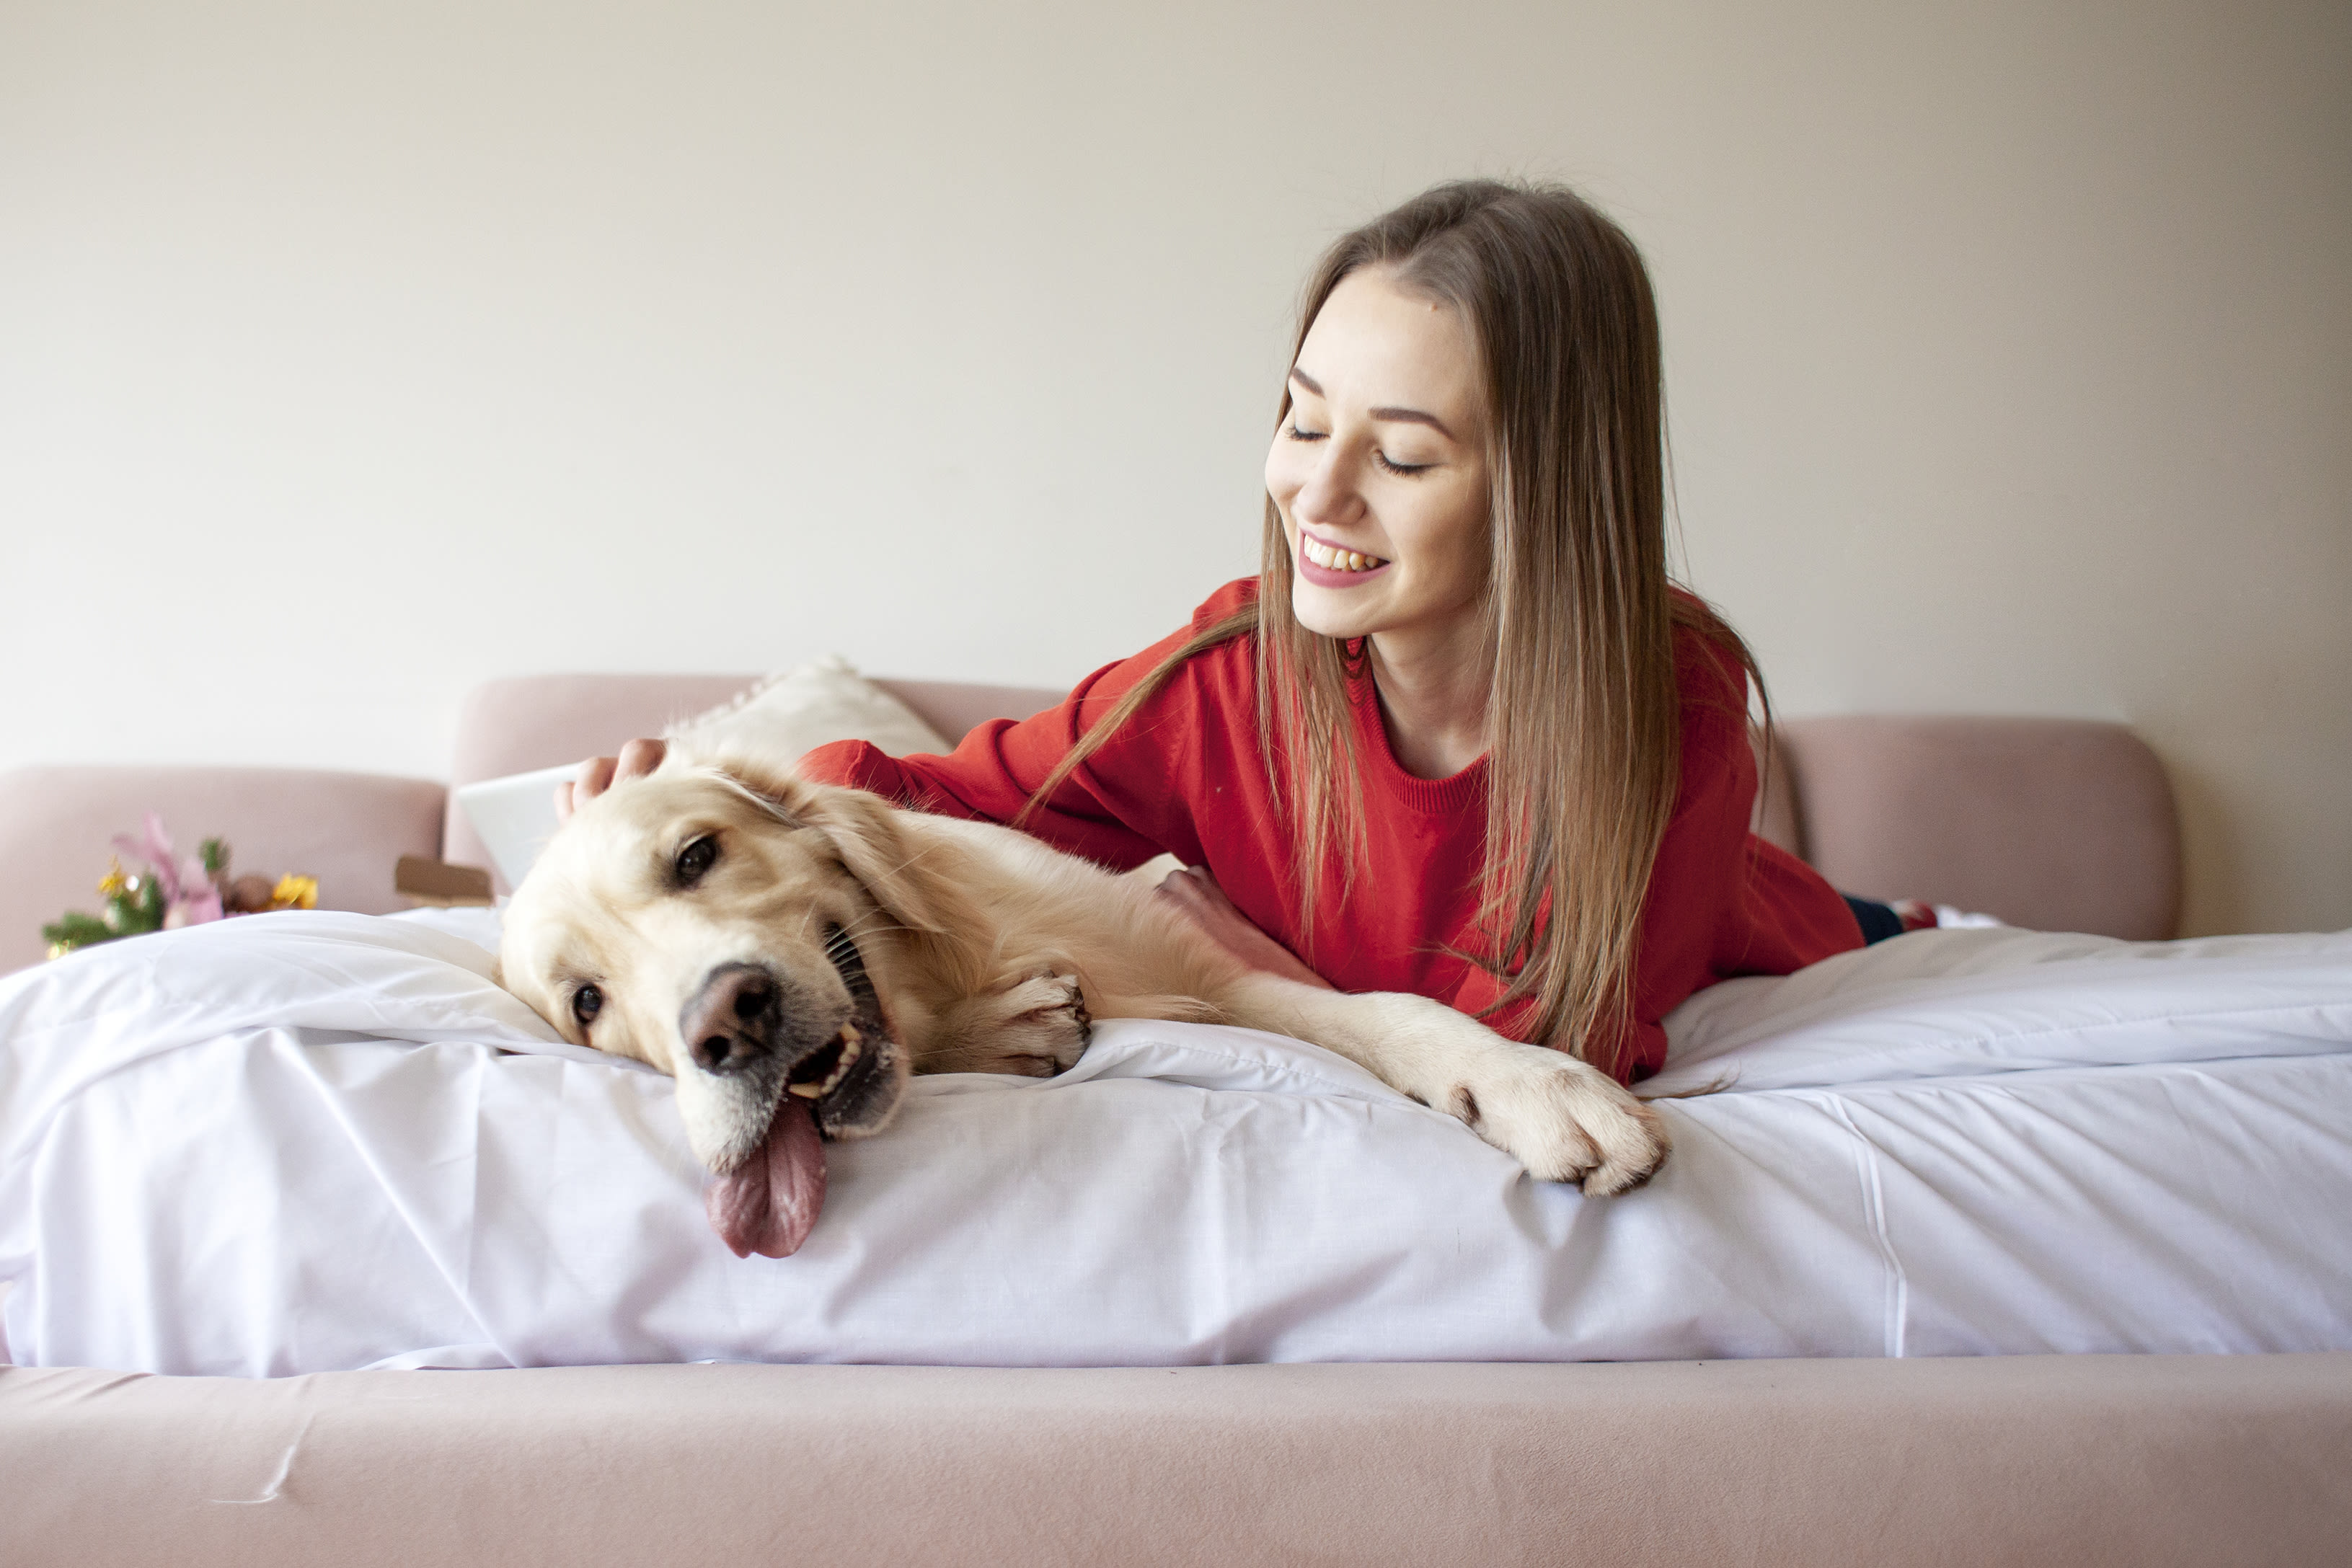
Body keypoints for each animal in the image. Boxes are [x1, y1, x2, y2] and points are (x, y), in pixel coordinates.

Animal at [496, 752, 1674, 1259]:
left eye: (696, 854)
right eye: (587, 1002)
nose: (725, 1024)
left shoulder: (1212, 971)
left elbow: (1389, 1011)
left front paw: (1537, 1084)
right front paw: (1012, 1028)